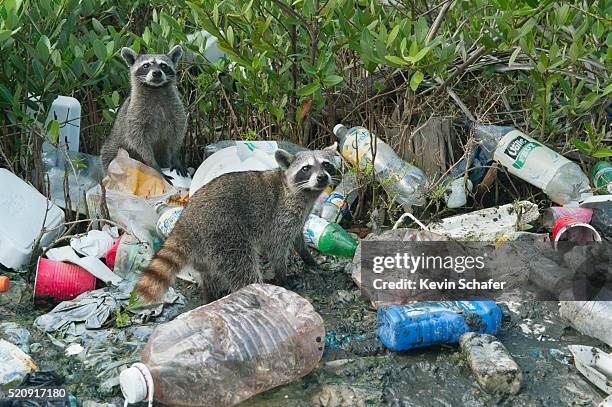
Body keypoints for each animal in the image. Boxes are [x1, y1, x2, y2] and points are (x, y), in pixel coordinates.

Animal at [100, 45, 189, 178]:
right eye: (146, 65)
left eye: (163, 65)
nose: (156, 73)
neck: (155, 89)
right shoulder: (135, 114)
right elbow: (138, 140)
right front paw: (152, 164)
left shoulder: (176, 108)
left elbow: (178, 132)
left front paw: (176, 155)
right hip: (112, 147)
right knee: (109, 157)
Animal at [137, 145, 340, 304]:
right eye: (306, 168)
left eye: (326, 164)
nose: (322, 177)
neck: (304, 191)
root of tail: (187, 221)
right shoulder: (282, 212)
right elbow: (277, 246)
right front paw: (282, 275)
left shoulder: (299, 214)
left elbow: (297, 237)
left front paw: (308, 258)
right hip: (225, 235)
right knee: (244, 269)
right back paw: (256, 289)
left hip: (206, 251)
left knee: (211, 276)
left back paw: (211, 297)